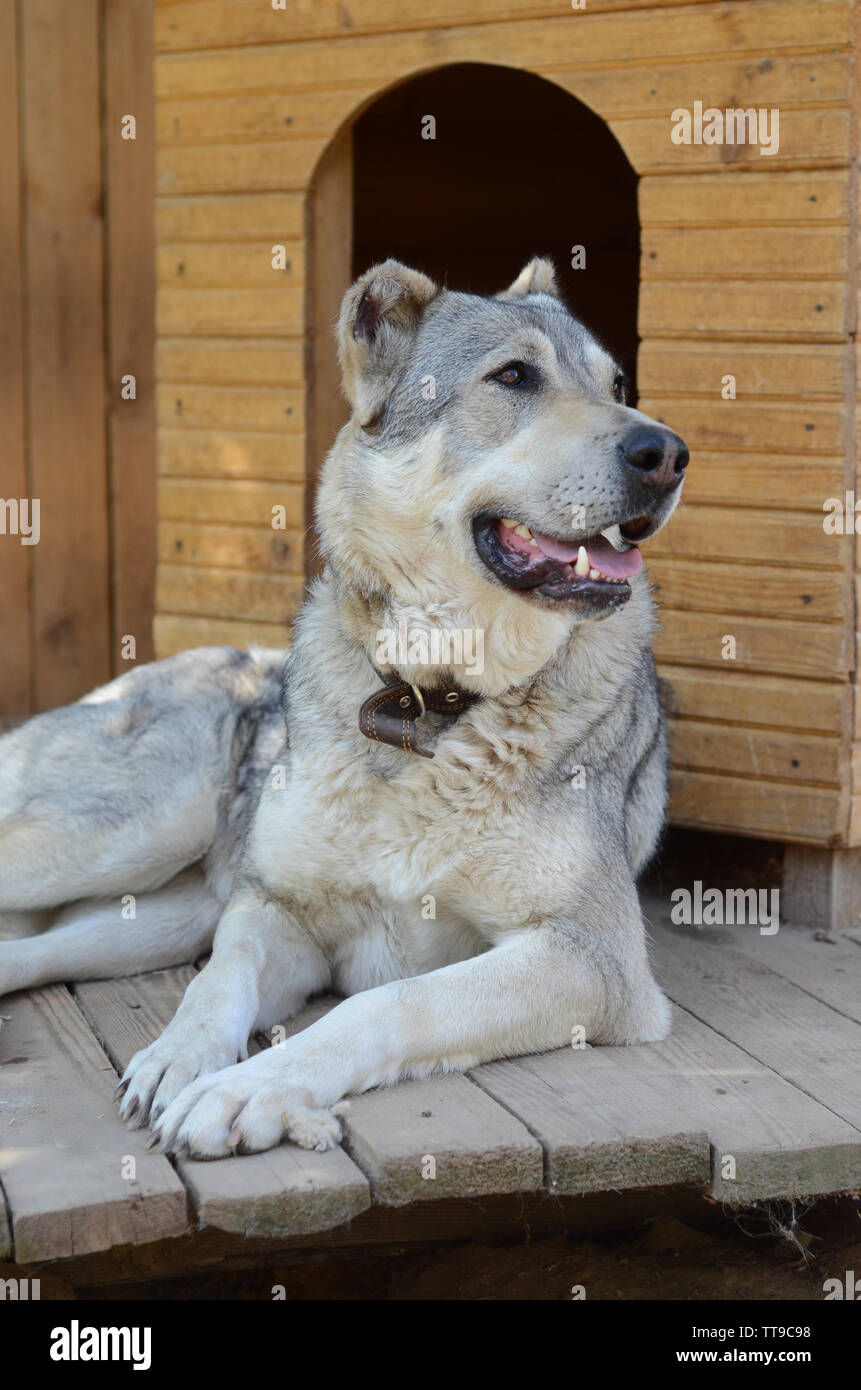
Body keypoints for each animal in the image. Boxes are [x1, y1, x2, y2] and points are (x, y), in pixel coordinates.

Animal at [0, 255, 687, 1156]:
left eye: (617, 384)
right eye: (514, 376)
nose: (667, 452)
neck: (430, 699)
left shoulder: (592, 958)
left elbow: (390, 1002)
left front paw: (246, 1089)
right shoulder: (274, 910)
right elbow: (217, 985)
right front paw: (183, 1060)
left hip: (152, 918)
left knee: (26, 954)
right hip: (126, 836)